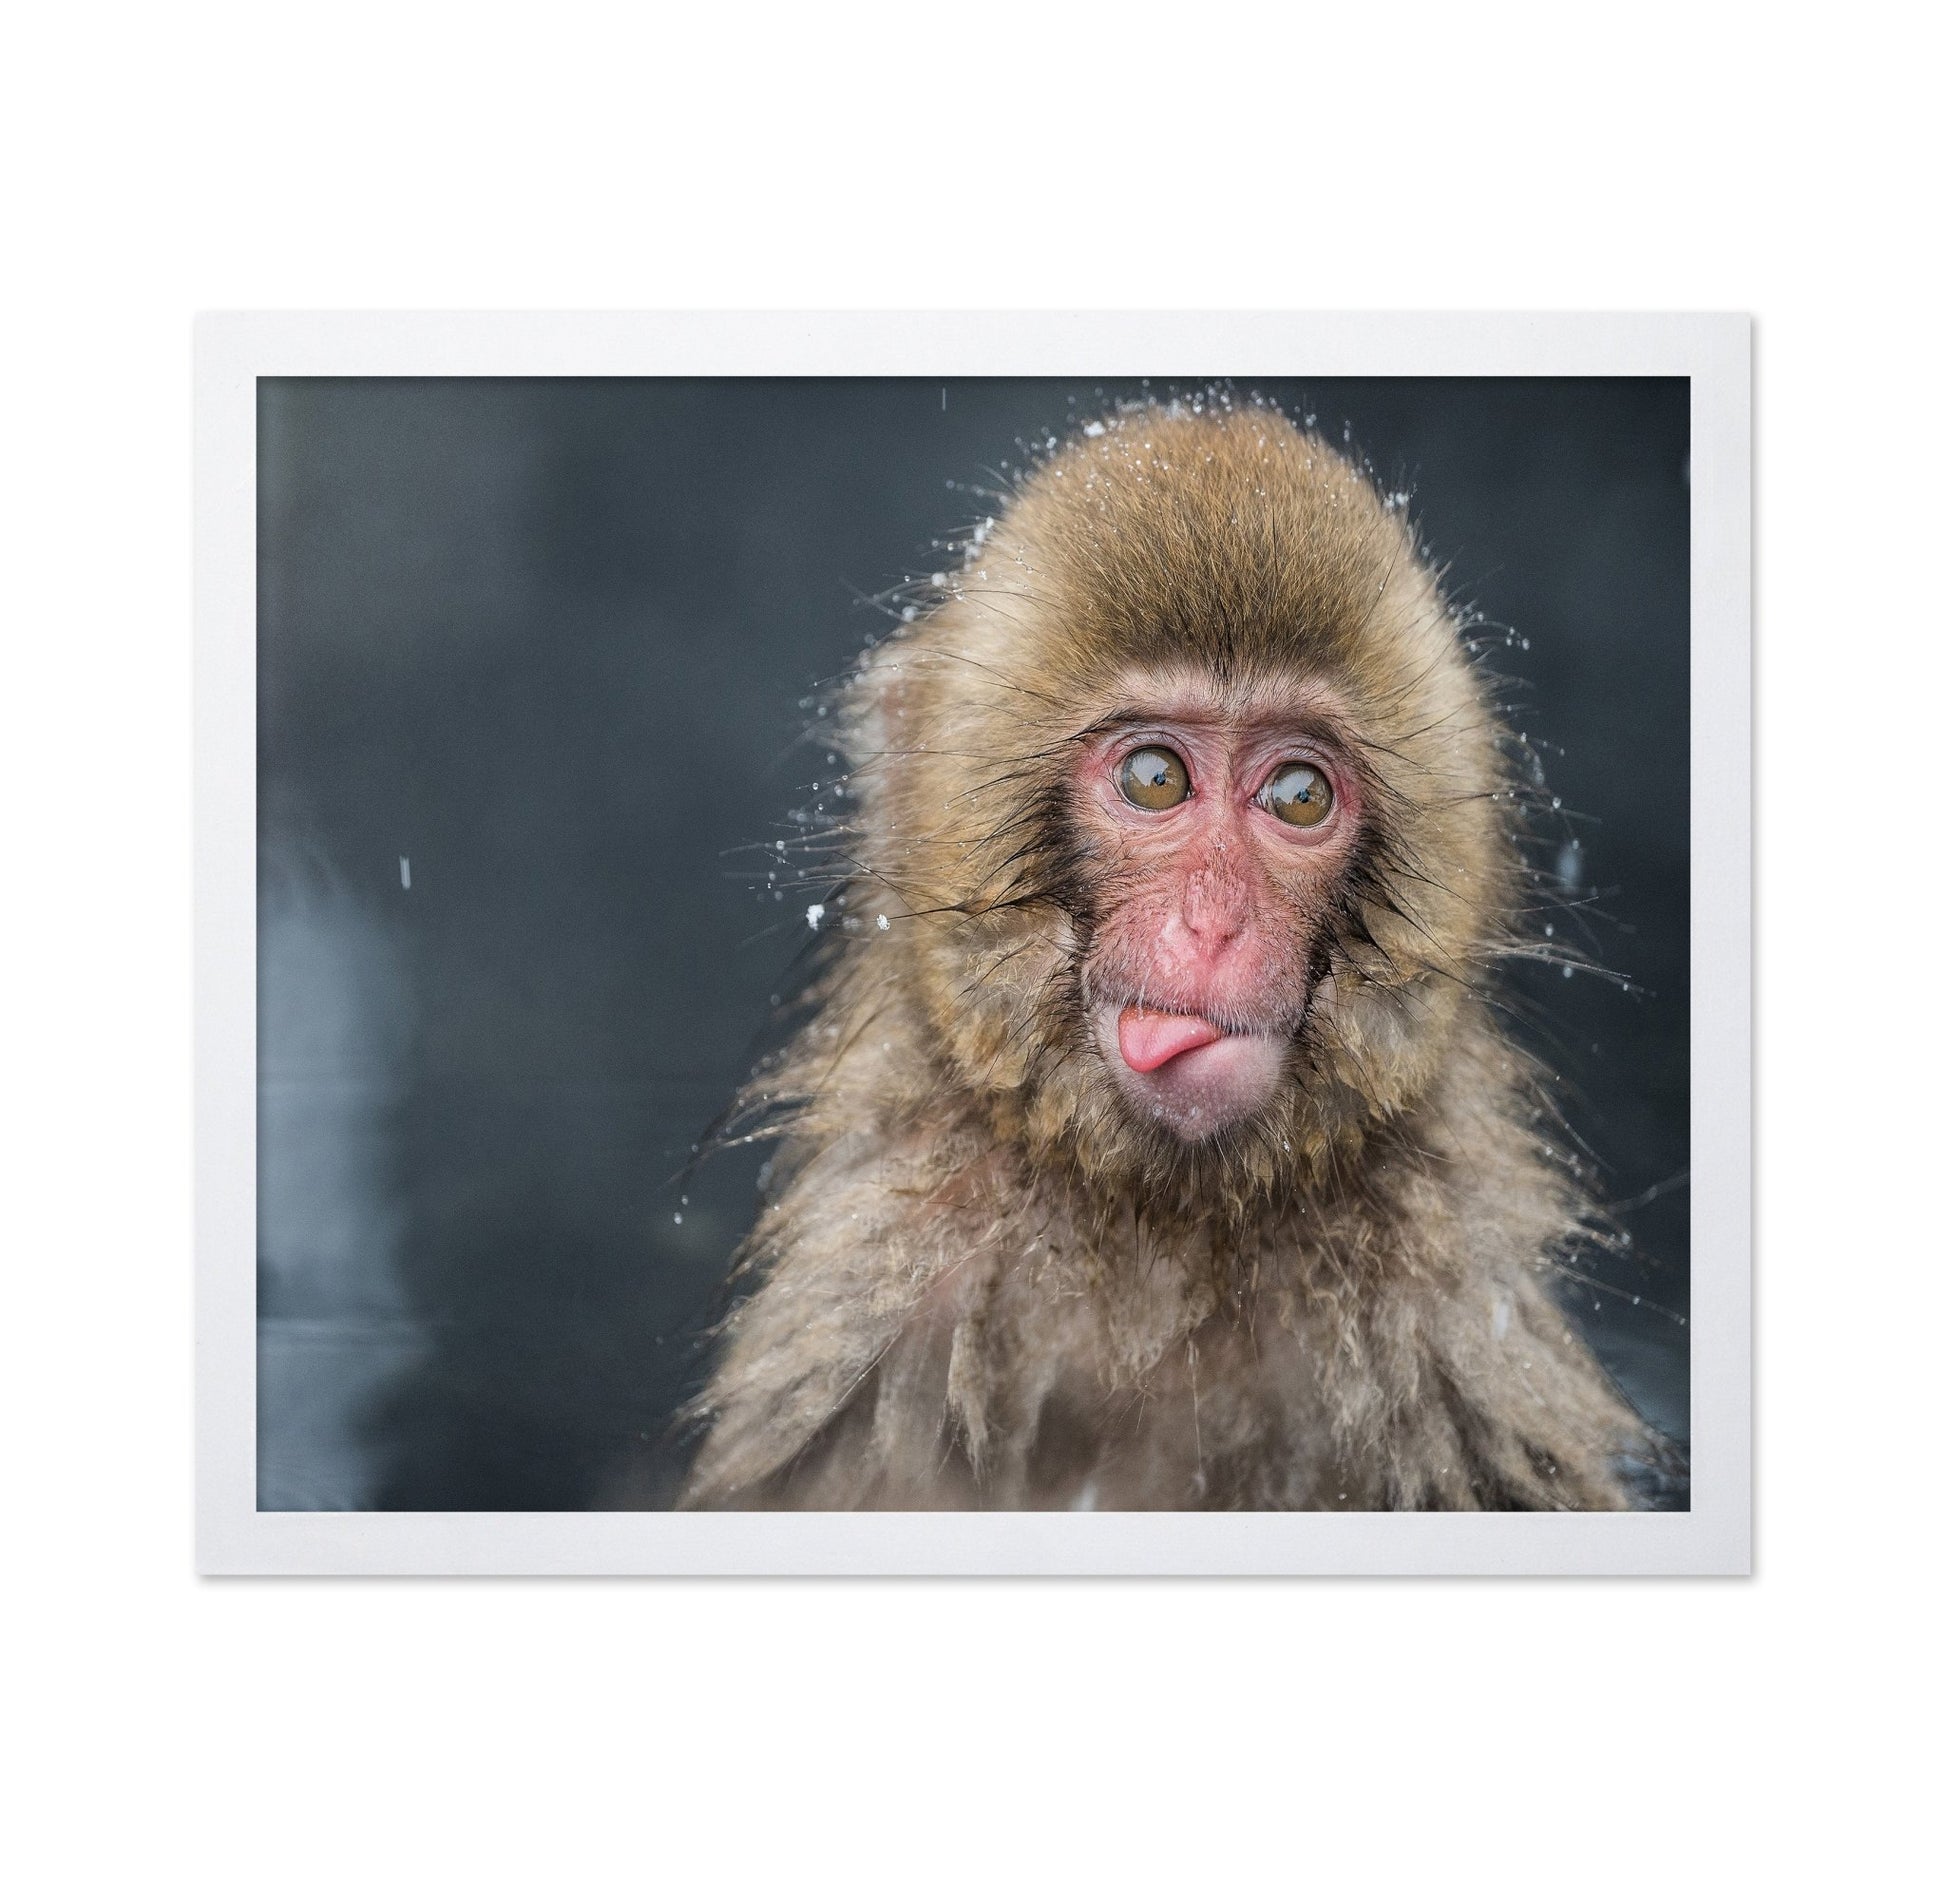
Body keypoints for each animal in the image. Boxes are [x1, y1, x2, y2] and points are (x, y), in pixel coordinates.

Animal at [677, 395, 1664, 1512]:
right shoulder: (878, 1304)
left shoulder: (1456, 1347)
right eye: (1154, 777)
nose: (1213, 926)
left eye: (1298, 796)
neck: (1160, 1223)